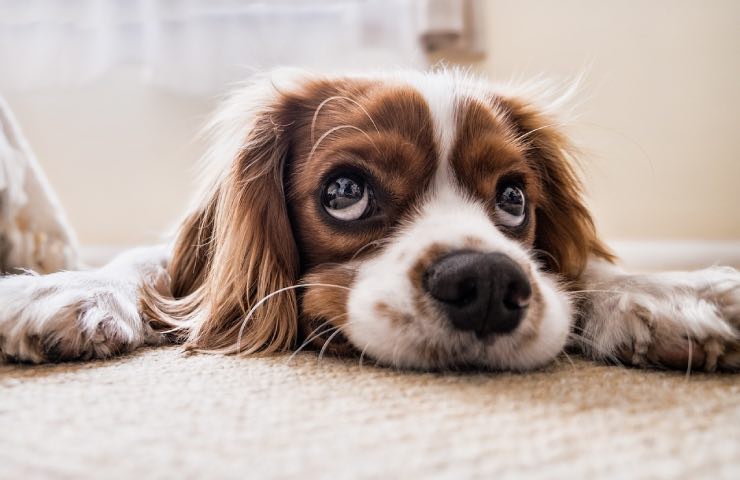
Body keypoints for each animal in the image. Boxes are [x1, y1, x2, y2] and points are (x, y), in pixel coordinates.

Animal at [1, 70, 740, 372]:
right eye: (345, 191)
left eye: (513, 199)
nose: (487, 284)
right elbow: (148, 265)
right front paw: (64, 290)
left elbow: (584, 270)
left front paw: (669, 294)